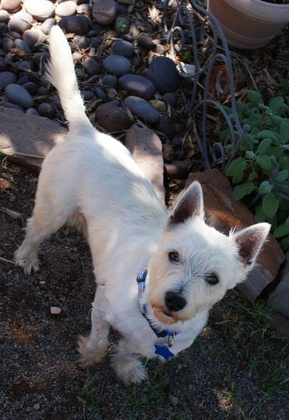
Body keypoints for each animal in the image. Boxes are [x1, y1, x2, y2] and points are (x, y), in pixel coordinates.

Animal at [14, 26, 268, 384]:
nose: (175, 299)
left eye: (213, 279)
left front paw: (125, 368)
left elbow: (130, 350)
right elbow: (100, 338)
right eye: (173, 255)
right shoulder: (102, 308)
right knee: (35, 231)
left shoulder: (152, 345)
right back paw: (27, 257)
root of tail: (87, 131)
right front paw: (91, 357)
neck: (155, 320)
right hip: (52, 208)